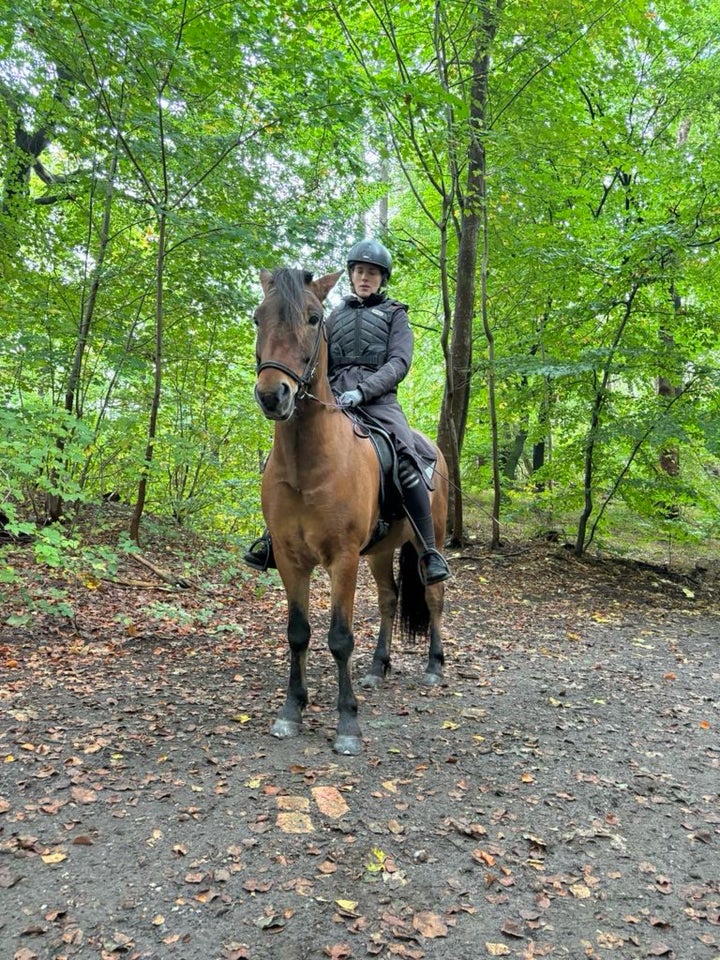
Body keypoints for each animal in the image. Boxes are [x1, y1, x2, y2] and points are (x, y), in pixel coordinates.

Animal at [250, 266, 448, 752]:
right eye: (258, 318)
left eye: (313, 318)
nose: (273, 396)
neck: (308, 465)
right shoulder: (290, 559)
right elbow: (298, 634)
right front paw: (291, 711)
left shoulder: (341, 560)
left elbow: (339, 638)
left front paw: (347, 723)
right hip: (379, 552)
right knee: (390, 599)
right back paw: (378, 668)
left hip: (427, 539)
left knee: (433, 596)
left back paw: (435, 667)